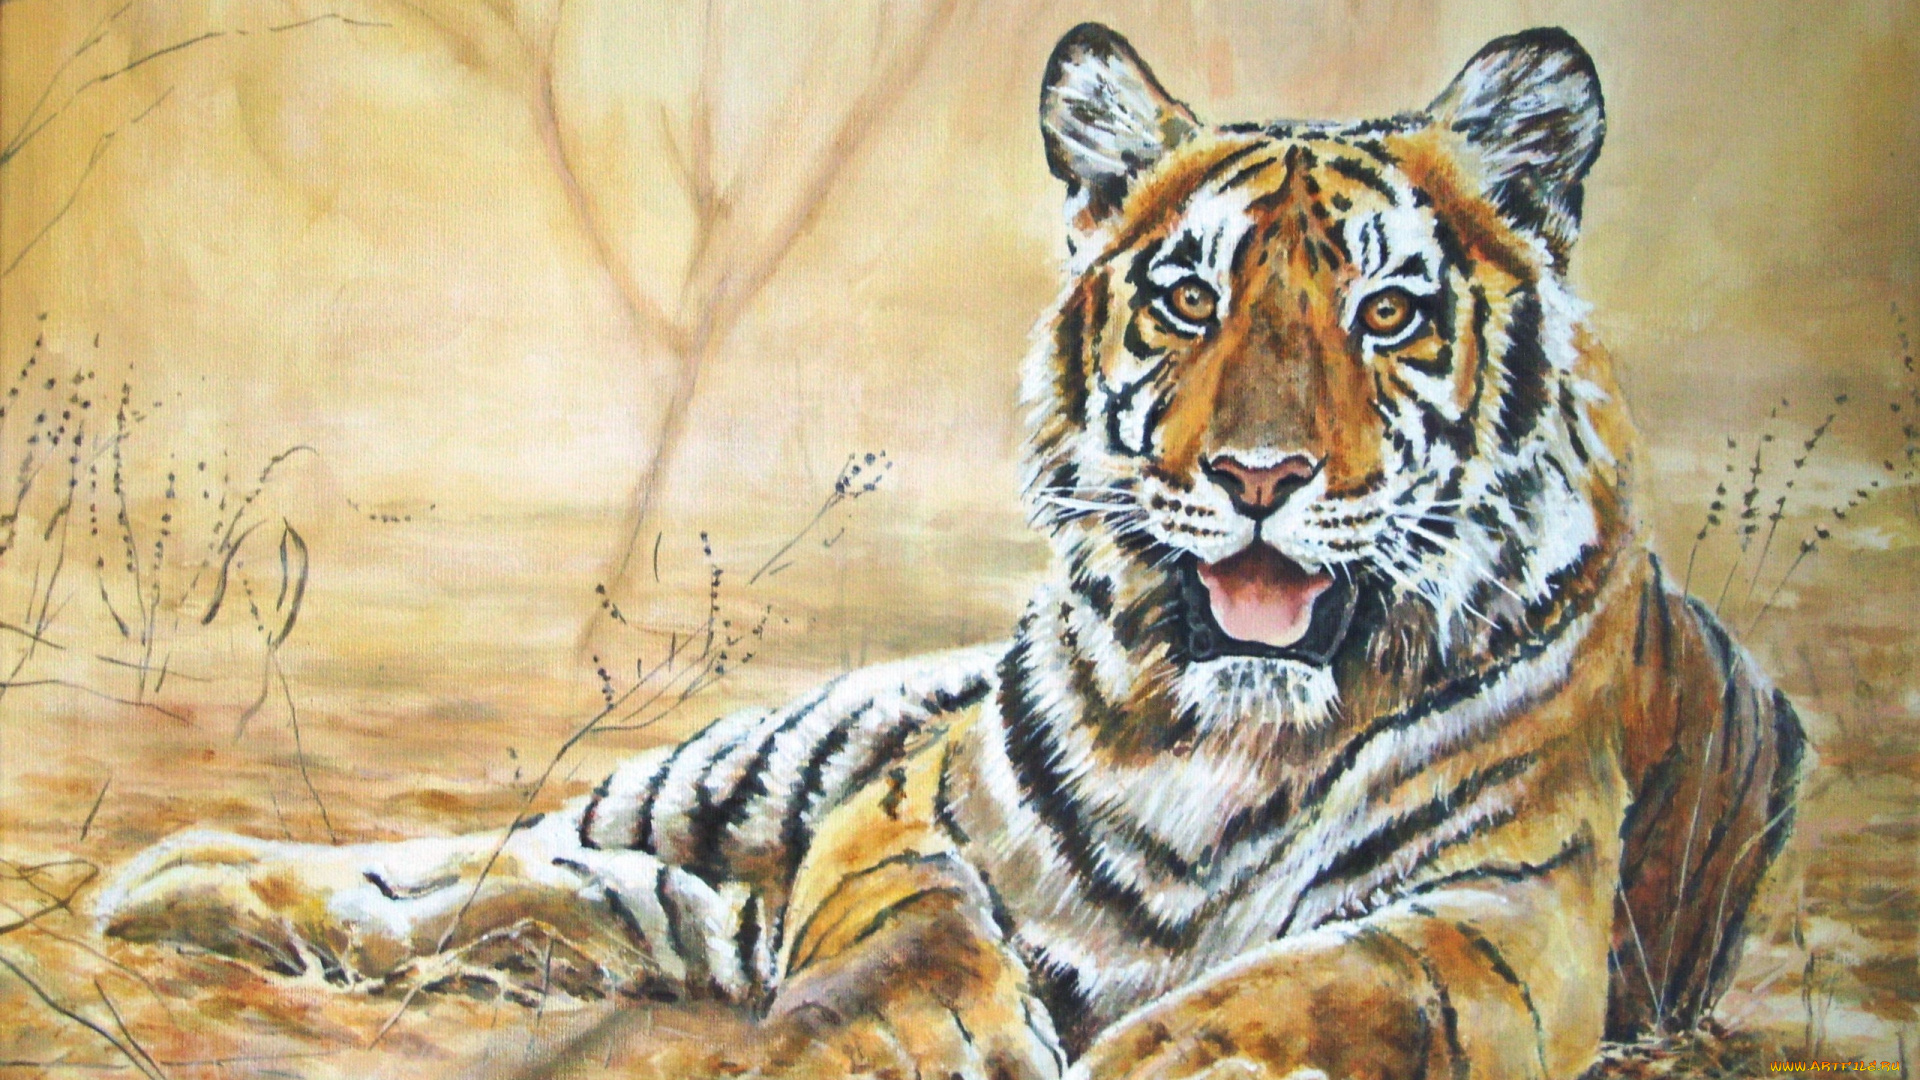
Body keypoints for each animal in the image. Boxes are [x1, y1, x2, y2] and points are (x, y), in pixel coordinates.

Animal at [96, 23, 1804, 1080]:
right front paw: (874, 1037)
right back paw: (178, 880)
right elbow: (907, 940)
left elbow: (1319, 991)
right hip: (749, 764)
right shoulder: (908, 809)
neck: (1225, 729)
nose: (1259, 477)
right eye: (1192, 301)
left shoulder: (1504, 907)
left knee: (566, 887)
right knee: (512, 847)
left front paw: (1165, 1048)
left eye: (1386, 314)